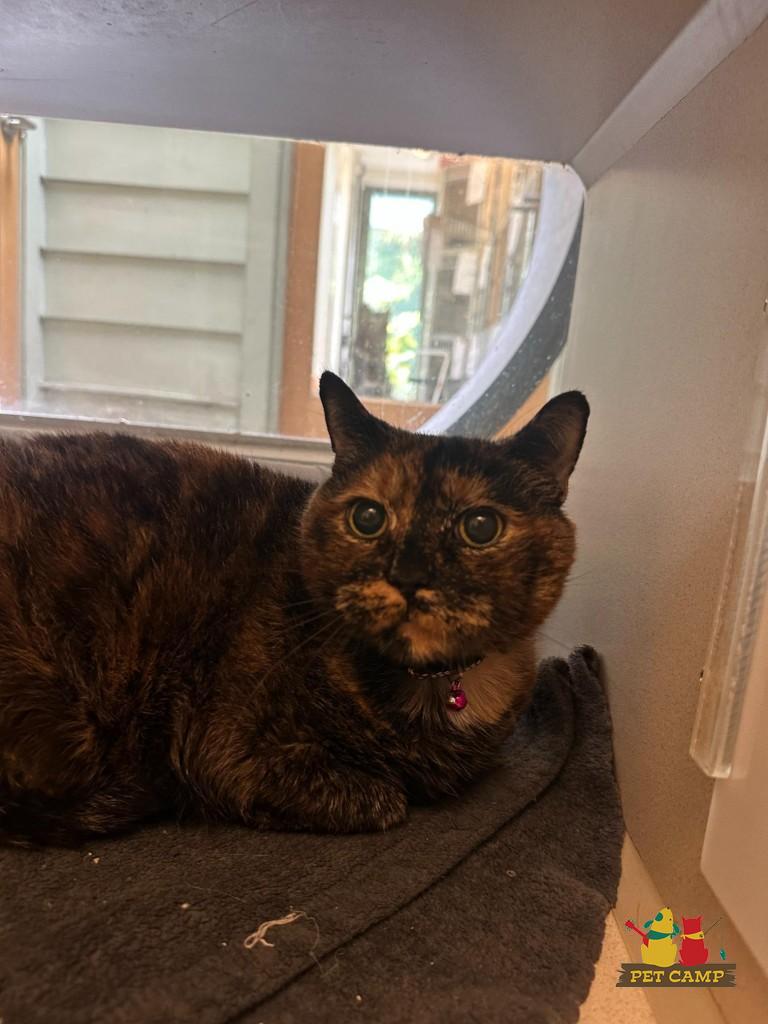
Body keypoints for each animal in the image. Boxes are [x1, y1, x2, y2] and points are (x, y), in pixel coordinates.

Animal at [0, 372, 588, 844]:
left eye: (480, 527)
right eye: (368, 517)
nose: (409, 576)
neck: (432, 693)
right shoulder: (227, 751)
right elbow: (386, 800)